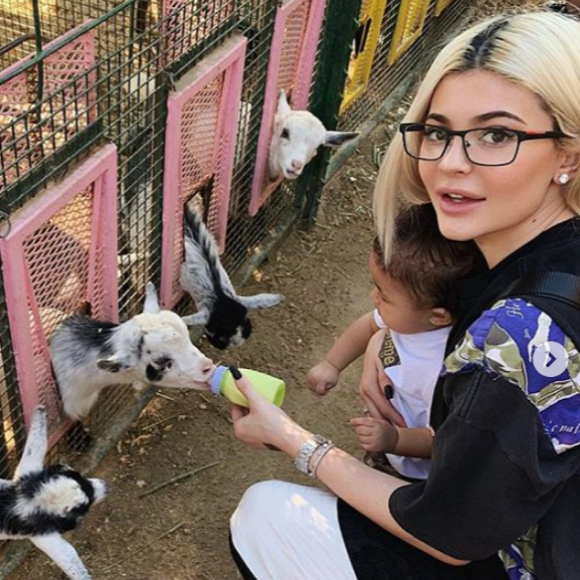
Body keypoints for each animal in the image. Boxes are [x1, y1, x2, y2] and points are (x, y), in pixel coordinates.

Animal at [0, 406, 109, 580]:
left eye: (79, 474)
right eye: (85, 506)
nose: (106, 486)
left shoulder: (25, 473)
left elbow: (34, 445)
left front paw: (40, 411)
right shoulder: (44, 536)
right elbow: (70, 559)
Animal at [179, 206, 284, 348]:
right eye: (220, 337)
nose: (218, 345)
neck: (224, 303)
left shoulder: (237, 300)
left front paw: (278, 298)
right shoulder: (207, 313)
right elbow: (188, 319)